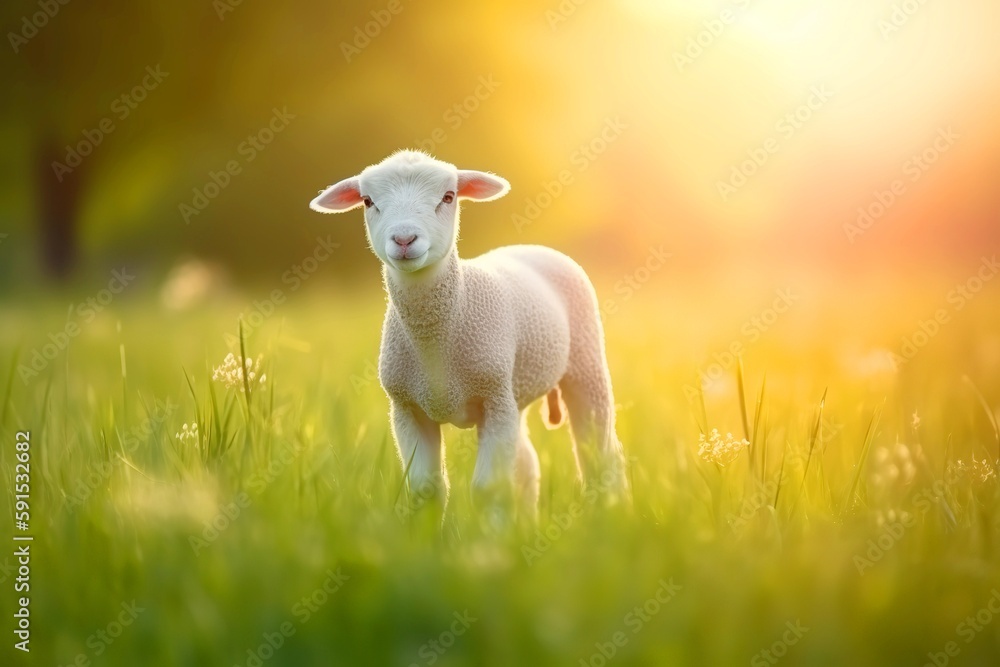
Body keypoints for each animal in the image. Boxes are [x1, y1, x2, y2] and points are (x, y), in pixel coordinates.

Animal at [309, 150, 627, 522]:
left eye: (448, 197)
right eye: (368, 201)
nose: (404, 240)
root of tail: (532, 246)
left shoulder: (492, 399)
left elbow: (490, 489)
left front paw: (492, 536)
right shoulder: (407, 407)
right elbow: (425, 490)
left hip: (583, 363)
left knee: (600, 452)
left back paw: (613, 514)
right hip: (514, 392)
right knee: (528, 463)